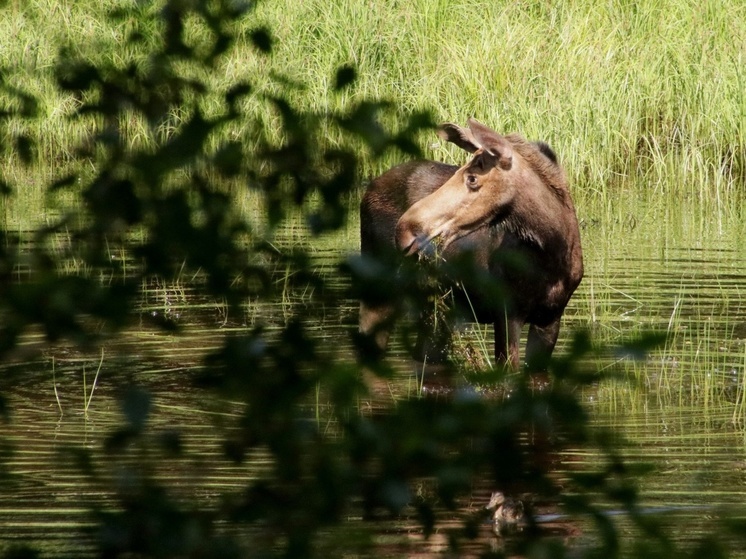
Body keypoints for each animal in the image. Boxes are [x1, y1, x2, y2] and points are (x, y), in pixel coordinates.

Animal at [358, 118, 580, 372]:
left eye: (472, 178)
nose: (404, 230)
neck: (553, 254)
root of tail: (368, 188)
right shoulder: (507, 314)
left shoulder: (550, 318)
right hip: (378, 292)